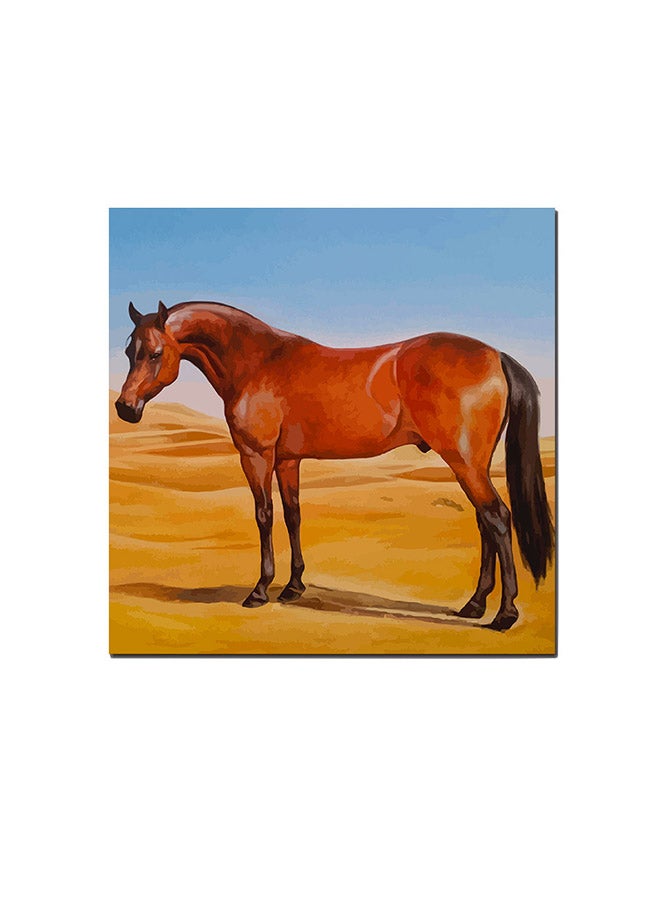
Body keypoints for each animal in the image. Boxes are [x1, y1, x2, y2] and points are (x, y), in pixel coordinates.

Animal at [115, 300, 554, 631]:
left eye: (155, 353)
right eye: (128, 352)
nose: (125, 408)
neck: (259, 361)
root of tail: (495, 355)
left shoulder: (256, 455)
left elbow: (264, 515)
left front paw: (260, 590)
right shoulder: (288, 460)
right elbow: (293, 515)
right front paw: (293, 586)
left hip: (464, 463)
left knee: (497, 518)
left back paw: (504, 614)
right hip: (472, 465)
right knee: (485, 522)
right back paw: (474, 605)